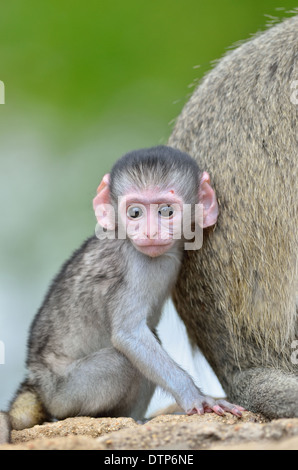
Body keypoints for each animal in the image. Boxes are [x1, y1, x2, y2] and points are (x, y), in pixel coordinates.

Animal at [0, 145, 242, 442]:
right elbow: (129, 336)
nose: (149, 232)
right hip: (65, 394)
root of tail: (35, 383)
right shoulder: (134, 268)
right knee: (123, 361)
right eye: (135, 213)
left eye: (166, 211)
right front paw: (195, 397)